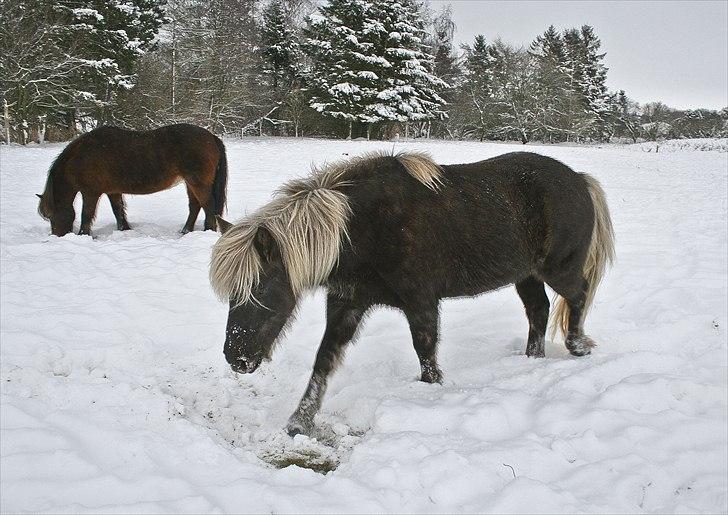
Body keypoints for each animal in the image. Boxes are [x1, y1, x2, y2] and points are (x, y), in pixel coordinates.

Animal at [36, 124, 225, 237]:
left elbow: (86, 214)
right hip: (190, 183)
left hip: (197, 183)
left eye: (51, 215)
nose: (56, 235)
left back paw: (208, 230)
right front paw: (124, 229)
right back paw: (186, 231)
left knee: (208, 206)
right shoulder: (113, 191)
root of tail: (211, 137)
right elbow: (118, 210)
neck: (80, 156)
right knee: (195, 206)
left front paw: (83, 234)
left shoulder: (90, 192)